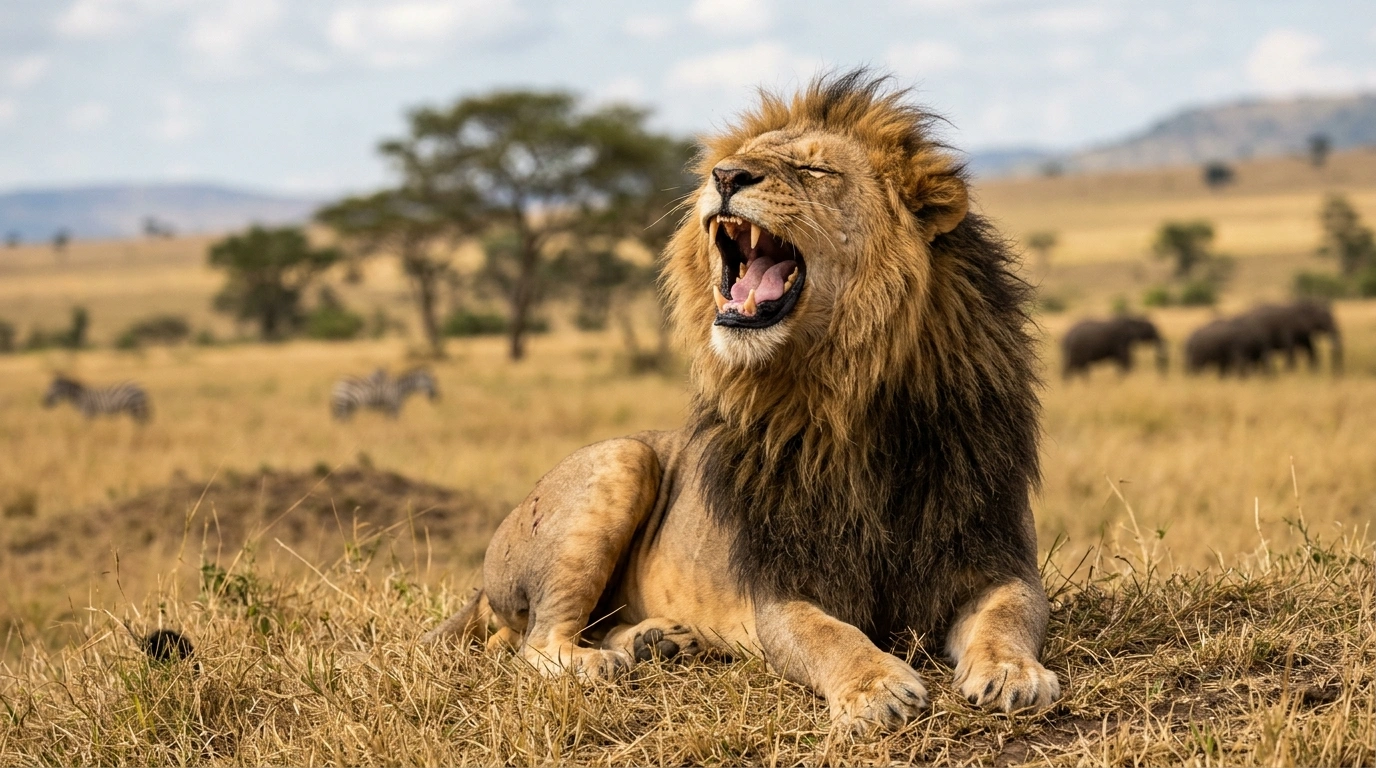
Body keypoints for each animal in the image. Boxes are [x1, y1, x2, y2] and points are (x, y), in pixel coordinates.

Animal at [424, 70, 1061, 733]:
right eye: (734, 163)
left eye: (816, 170)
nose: (725, 176)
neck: (850, 403)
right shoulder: (780, 591)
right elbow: (831, 636)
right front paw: (876, 688)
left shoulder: (998, 555)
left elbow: (1010, 615)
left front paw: (1012, 673)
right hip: (623, 458)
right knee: (536, 644)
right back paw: (603, 662)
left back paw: (656, 640)